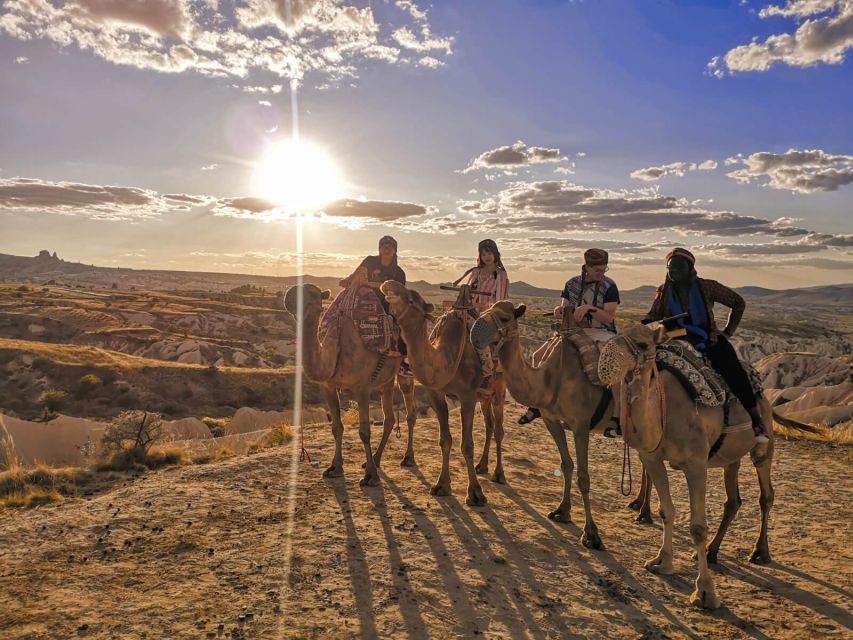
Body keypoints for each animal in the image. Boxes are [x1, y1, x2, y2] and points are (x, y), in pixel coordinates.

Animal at [282, 284, 416, 484]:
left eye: (313, 293)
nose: (289, 296)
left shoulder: (362, 388)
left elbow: (364, 431)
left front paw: (371, 476)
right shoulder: (328, 386)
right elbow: (337, 427)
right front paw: (334, 468)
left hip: (405, 371)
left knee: (409, 411)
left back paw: (407, 458)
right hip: (386, 380)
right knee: (389, 417)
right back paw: (376, 459)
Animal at [378, 282, 506, 508]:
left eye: (413, 299)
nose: (388, 284)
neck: (448, 355)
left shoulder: (467, 396)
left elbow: (467, 445)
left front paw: (475, 493)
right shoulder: (436, 395)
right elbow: (445, 440)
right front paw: (442, 486)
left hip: (498, 389)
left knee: (499, 429)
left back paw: (499, 474)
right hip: (484, 396)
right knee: (489, 426)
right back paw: (482, 466)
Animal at [466, 302, 620, 548]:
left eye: (505, 317)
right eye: (485, 310)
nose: (476, 335)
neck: (551, 378)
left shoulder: (580, 424)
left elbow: (583, 476)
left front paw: (591, 534)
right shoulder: (551, 419)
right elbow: (566, 464)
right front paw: (562, 512)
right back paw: (641, 510)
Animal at [596, 324, 776, 608]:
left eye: (644, 344)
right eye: (618, 334)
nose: (606, 361)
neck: (665, 410)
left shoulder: (696, 465)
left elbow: (698, 527)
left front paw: (705, 593)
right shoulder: (652, 459)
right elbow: (666, 511)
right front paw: (661, 562)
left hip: (764, 442)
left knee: (766, 494)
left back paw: (760, 552)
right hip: (730, 458)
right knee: (733, 500)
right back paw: (712, 551)